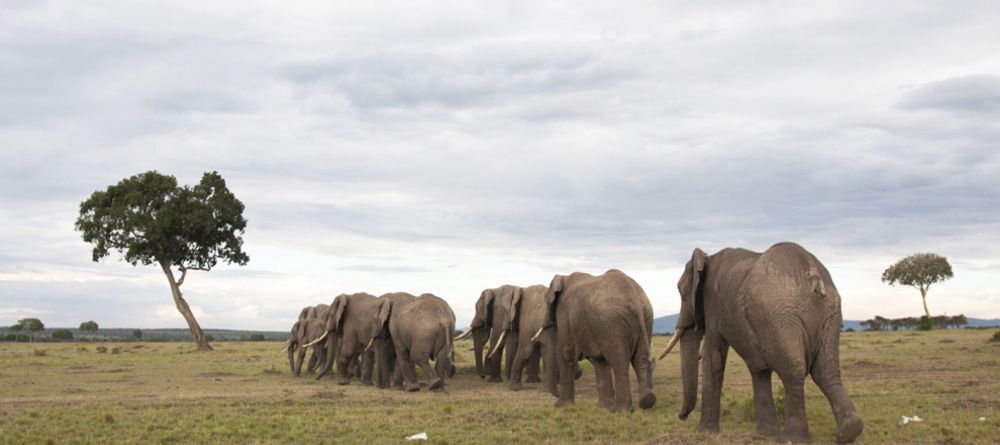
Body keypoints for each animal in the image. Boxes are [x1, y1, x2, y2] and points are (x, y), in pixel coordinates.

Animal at [532, 268, 656, 412]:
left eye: (546, 302)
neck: (564, 277)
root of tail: (635, 300)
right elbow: (600, 362)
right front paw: (603, 406)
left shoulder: (565, 313)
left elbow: (566, 353)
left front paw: (561, 406)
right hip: (646, 317)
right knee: (640, 359)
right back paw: (647, 401)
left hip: (612, 323)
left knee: (619, 361)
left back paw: (620, 411)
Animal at [660, 243, 864, 444]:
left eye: (682, 293)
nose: (682, 416)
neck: (708, 257)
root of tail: (813, 274)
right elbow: (758, 368)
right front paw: (764, 435)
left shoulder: (713, 305)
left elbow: (714, 359)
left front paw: (706, 433)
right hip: (828, 313)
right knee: (826, 370)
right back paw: (849, 430)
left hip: (780, 314)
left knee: (793, 370)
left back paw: (793, 438)